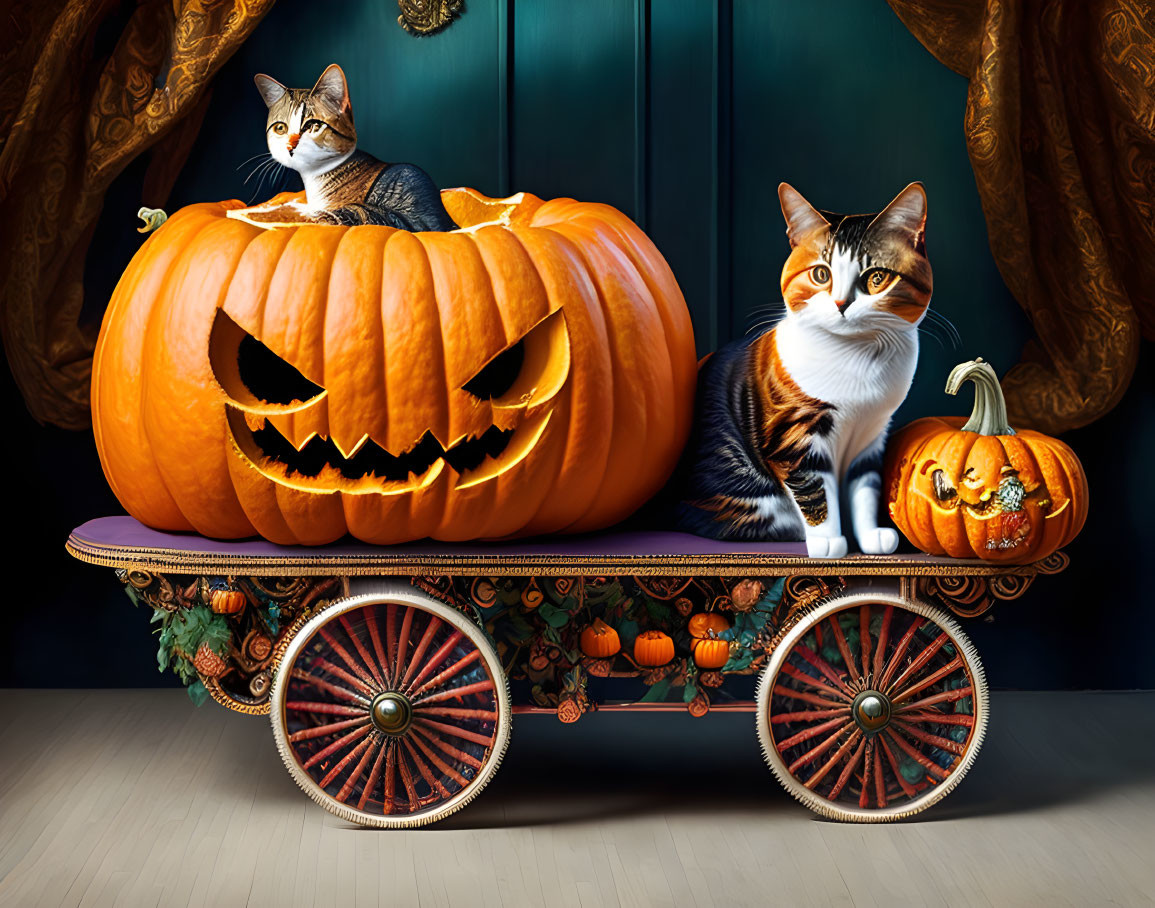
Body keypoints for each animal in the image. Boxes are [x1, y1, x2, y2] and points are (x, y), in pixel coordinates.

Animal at [674, 180, 928, 554]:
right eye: (821, 274)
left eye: (877, 277)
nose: (840, 303)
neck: (858, 357)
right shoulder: (792, 435)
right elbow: (814, 488)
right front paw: (829, 541)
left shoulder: (872, 433)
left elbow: (865, 486)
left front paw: (870, 536)